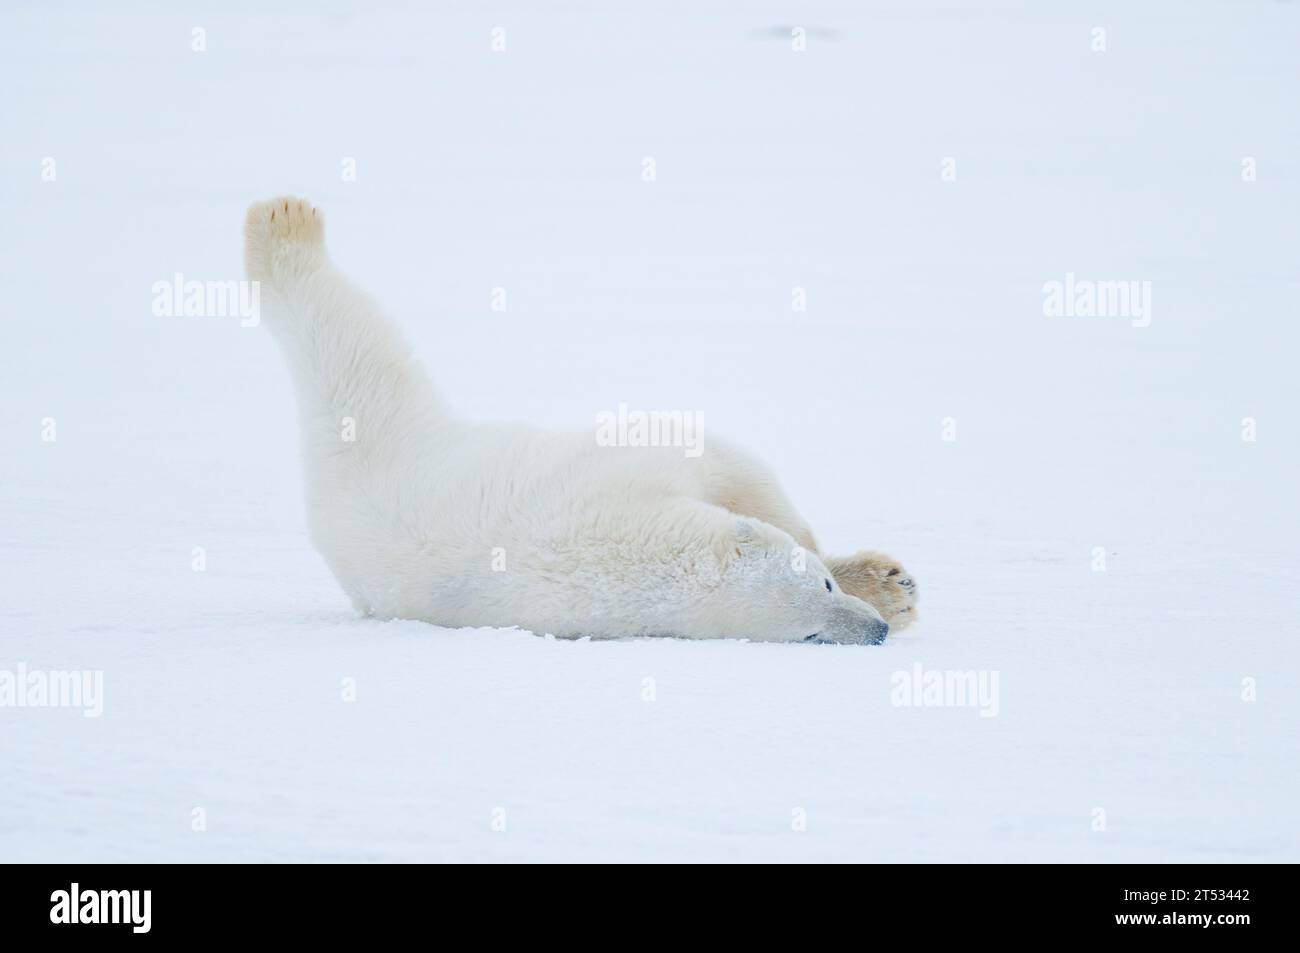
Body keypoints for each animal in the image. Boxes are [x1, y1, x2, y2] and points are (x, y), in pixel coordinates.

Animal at [244, 196, 915, 642]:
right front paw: (888, 586)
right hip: (385, 429)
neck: (623, 553)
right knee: (348, 341)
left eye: (823, 591)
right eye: (810, 632)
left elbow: (730, 467)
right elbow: (719, 455)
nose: (874, 632)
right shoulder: (626, 483)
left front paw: (883, 581)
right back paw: (282, 225)